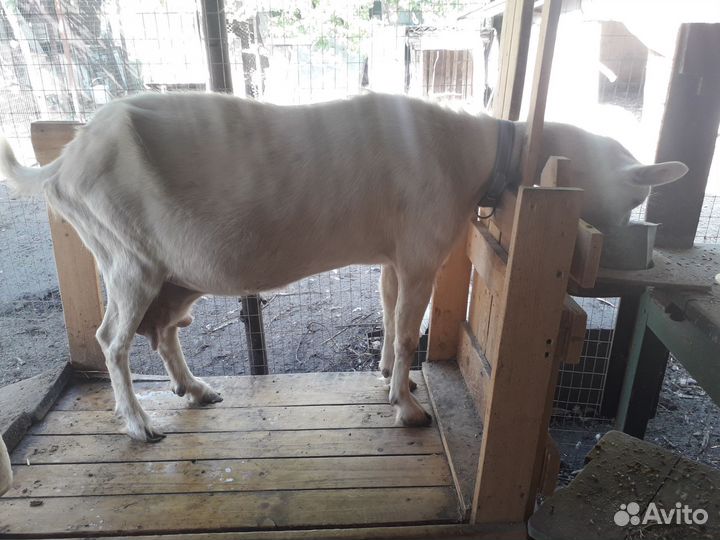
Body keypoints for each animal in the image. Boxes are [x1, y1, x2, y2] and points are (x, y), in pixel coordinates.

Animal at [0, 92, 687, 441]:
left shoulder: (395, 254)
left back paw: (193, 390)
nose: (626, 247)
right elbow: (410, 329)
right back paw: (139, 424)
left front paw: (388, 378)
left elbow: (389, 309)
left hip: (176, 272)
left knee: (163, 328)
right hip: (127, 255)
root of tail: (61, 164)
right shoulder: (422, 251)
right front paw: (407, 409)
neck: (475, 152)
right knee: (111, 339)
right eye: (632, 196)